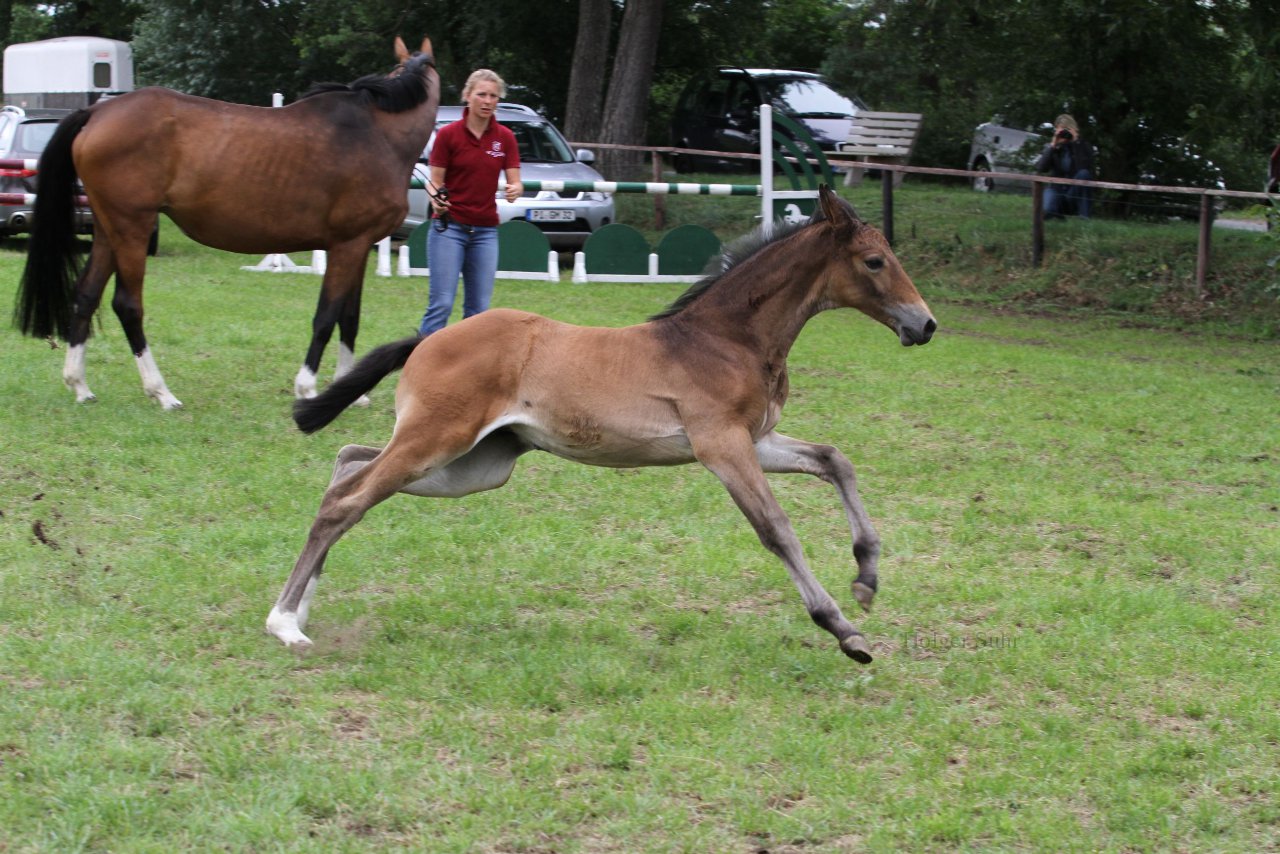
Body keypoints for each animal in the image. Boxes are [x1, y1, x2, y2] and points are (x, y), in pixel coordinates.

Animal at [12, 34, 442, 407]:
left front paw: (353, 391)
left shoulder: (358, 245)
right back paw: (161, 392)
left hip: (108, 230)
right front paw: (307, 387)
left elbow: (349, 319)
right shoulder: (347, 245)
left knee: (86, 296)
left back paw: (80, 385)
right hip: (132, 227)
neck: (377, 133)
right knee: (127, 305)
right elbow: (326, 316)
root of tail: (97, 111)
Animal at [270, 186, 936, 665]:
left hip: (473, 465)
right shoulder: (721, 446)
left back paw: (300, 609)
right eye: (875, 261)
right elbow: (777, 529)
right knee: (346, 499)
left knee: (347, 468)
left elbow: (833, 459)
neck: (726, 339)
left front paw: (867, 577)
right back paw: (285, 625)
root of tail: (428, 341)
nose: (925, 324)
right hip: (437, 443)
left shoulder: (757, 440)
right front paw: (843, 629)